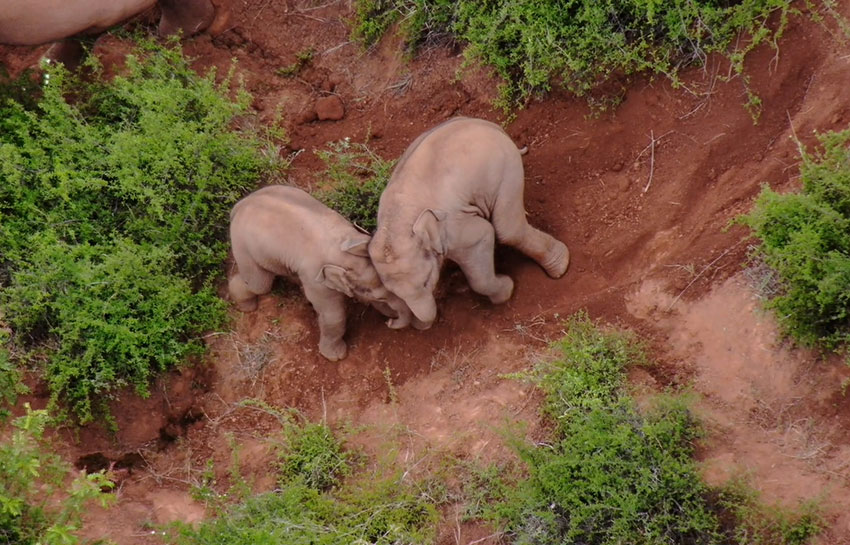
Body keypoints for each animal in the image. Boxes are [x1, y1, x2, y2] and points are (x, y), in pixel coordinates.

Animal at [227, 186, 416, 362]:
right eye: (380, 298)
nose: (389, 322)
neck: (340, 251)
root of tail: (239, 205)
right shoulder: (316, 280)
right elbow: (333, 315)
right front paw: (336, 357)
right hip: (244, 246)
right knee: (260, 284)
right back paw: (246, 306)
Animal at [366, 116, 568, 328]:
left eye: (426, 282)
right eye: (393, 293)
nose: (388, 321)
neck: (397, 221)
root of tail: (488, 124)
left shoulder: (454, 227)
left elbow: (484, 236)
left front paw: (507, 288)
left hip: (506, 168)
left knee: (507, 229)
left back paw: (559, 268)